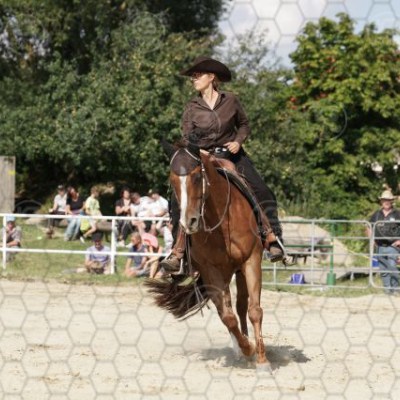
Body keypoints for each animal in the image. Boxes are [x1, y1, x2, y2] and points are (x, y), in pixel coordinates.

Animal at [145, 142, 269, 369]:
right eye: (172, 180)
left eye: (196, 177)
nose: (189, 222)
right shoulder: (211, 270)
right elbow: (227, 317)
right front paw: (247, 349)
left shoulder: (251, 260)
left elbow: (255, 311)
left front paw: (262, 360)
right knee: (228, 310)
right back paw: (240, 348)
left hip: (238, 270)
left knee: (241, 307)